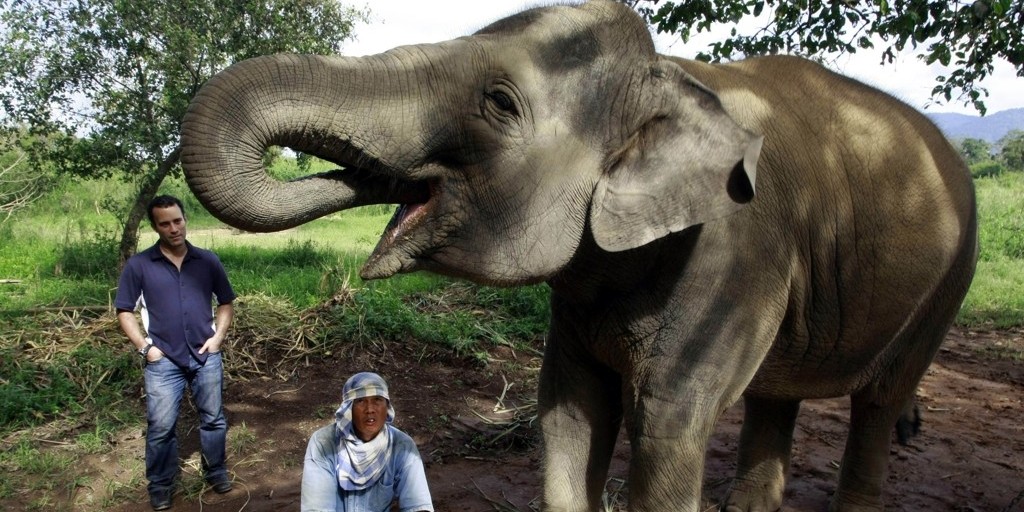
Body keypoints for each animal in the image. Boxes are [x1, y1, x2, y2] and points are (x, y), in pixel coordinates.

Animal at [176, 2, 974, 509]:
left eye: (500, 103)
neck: (674, 78)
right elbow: (568, 411)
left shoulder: (734, 255)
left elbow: (667, 427)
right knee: (777, 396)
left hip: (946, 283)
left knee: (879, 403)